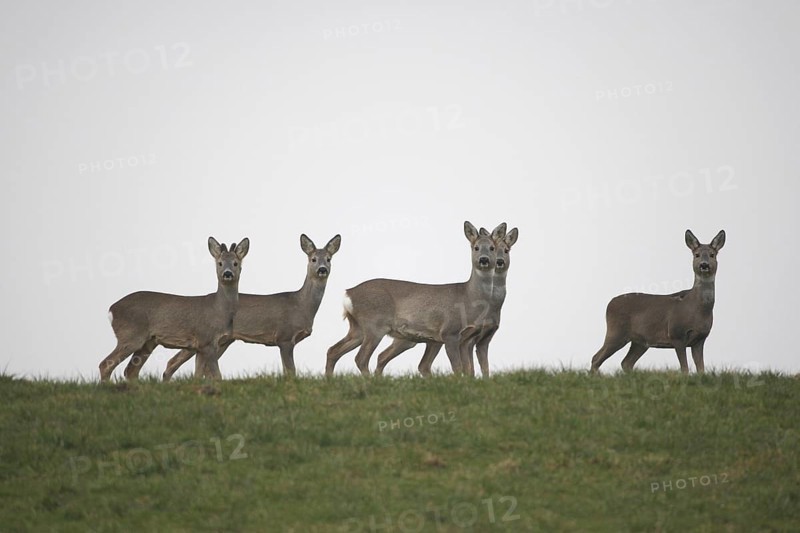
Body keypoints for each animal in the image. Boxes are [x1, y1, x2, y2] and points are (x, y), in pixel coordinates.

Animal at [100, 237, 249, 381]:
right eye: (220, 263)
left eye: (235, 263)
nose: (227, 273)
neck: (220, 311)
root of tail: (112, 309)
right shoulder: (206, 339)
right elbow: (217, 376)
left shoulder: (201, 346)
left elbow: (197, 375)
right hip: (131, 335)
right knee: (106, 364)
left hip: (148, 342)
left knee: (130, 370)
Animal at [159, 234, 341, 380]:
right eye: (313, 259)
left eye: (329, 259)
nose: (322, 269)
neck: (300, 305)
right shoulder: (284, 336)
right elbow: (291, 371)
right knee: (172, 362)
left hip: (223, 341)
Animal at [325, 221, 503, 377]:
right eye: (476, 247)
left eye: (492, 248)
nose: (484, 259)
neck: (469, 297)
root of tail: (348, 293)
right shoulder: (450, 332)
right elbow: (458, 368)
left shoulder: (467, 338)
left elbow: (468, 369)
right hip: (374, 324)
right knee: (361, 358)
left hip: (358, 328)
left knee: (333, 350)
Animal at [374, 225, 519, 377]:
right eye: (476, 247)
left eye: (505, 250)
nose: (497, 261)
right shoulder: (464, 337)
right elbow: (467, 368)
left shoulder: (483, 338)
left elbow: (483, 367)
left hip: (422, 340)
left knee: (404, 361)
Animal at [590, 229, 726, 374]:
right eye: (697, 255)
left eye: (712, 255)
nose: (704, 265)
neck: (697, 309)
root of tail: (609, 303)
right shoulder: (676, 333)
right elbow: (684, 369)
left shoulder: (700, 338)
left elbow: (701, 368)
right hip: (616, 331)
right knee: (596, 358)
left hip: (640, 342)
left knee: (626, 362)